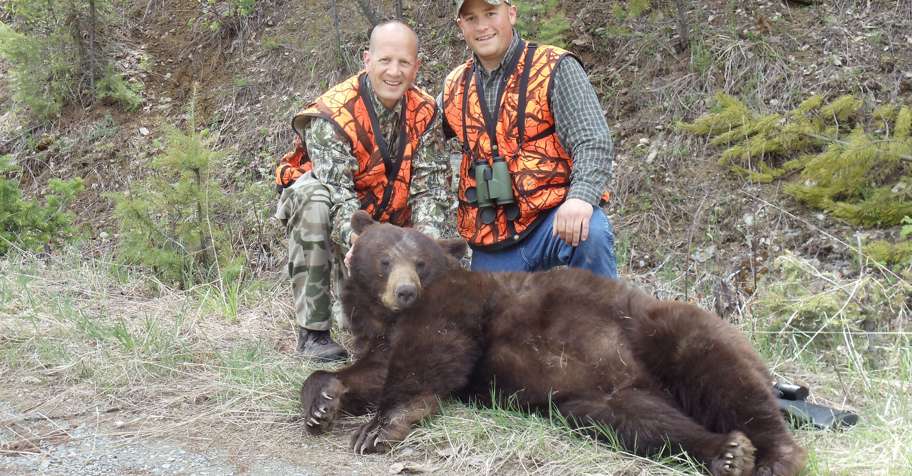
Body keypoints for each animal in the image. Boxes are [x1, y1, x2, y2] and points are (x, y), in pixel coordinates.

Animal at [299, 210, 807, 476]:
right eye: (385, 259)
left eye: (420, 262)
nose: (405, 291)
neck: (388, 318)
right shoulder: (382, 338)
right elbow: (368, 370)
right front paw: (323, 404)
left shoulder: (457, 304)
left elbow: (430, 357)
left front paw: (378, 428)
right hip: (599, 399)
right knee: (645, 425)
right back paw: (725, 452)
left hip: (662, 330)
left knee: (725, 378)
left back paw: (771, 457)